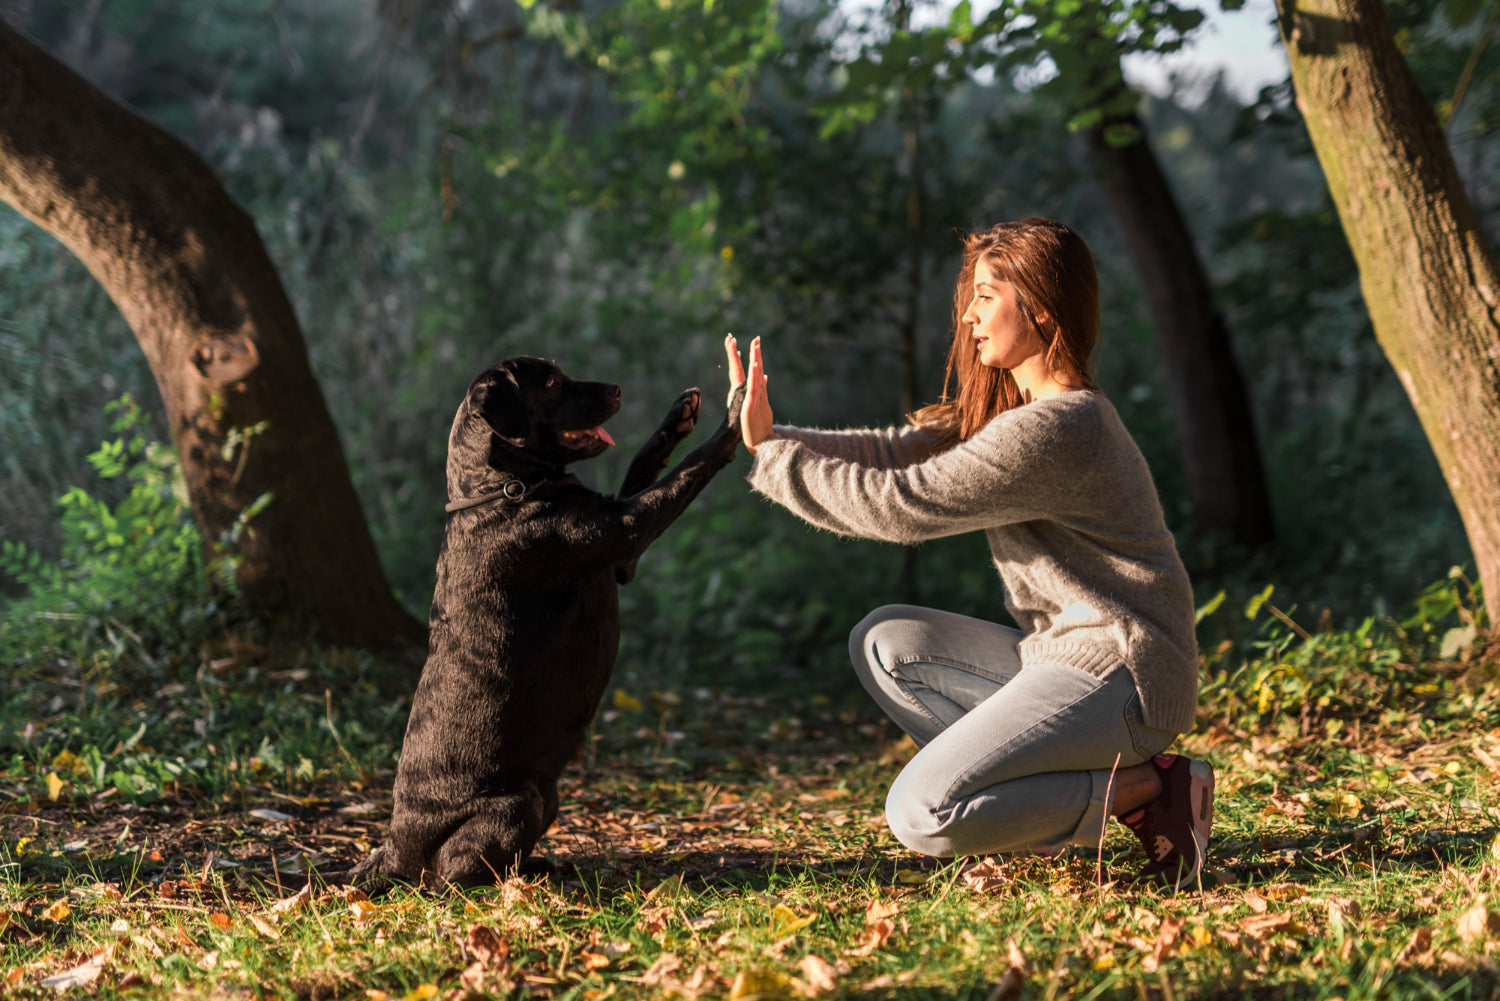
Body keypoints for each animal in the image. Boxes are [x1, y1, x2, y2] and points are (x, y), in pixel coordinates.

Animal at [346, 355, 744, 888]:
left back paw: (539, 866)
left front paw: (678, 416)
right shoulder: (627, 530)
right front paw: (736, 416)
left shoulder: (622, 559)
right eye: (553, 382)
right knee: (449, 875)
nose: (617, 389)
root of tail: (393, 849)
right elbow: (688, 470)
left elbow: (643, 465)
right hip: (518, 803)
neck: (502, 490)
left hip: (546, 795)